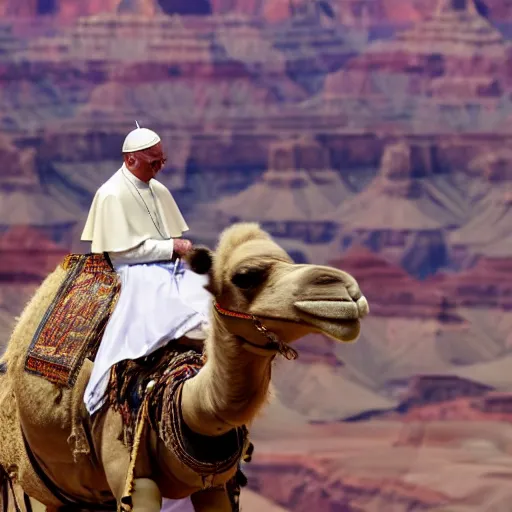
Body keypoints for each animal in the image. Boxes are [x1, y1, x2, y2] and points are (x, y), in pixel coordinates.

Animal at [0, 224, 368, 512]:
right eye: (246, 276)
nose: (345, 291)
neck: (178, 394)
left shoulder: (218, 485)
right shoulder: (130, 476)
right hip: (31, 482)